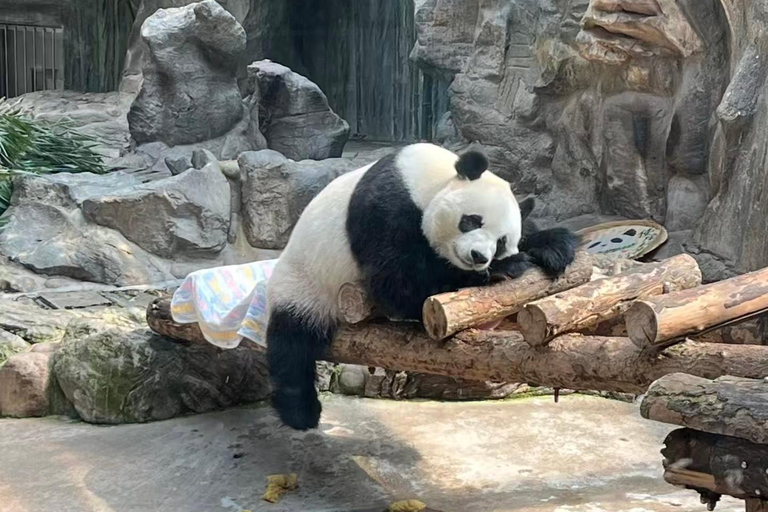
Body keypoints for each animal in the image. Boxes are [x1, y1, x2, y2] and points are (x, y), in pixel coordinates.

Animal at [266, 142, 578, 430]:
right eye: (472, 220)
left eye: (501, 241)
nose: (479, 257)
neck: (427, 179)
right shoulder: (385, 206)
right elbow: (397, 282)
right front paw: (505, 268)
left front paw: (553, 246)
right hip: (304, 284)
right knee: (292, 345)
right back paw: (301, 411)